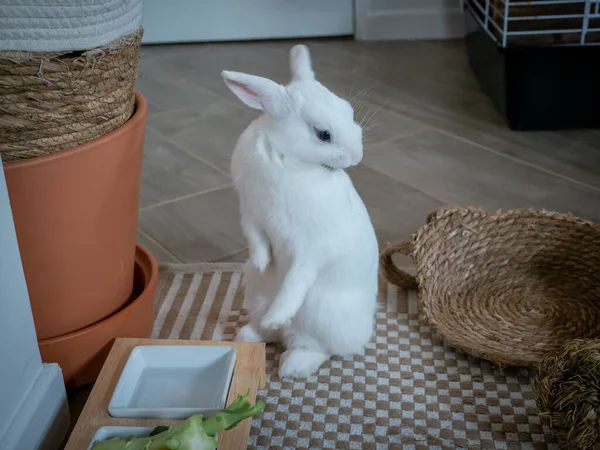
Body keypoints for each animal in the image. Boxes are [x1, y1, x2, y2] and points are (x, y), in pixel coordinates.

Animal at [223, 44, 378, 378]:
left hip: (318, 316)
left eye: (349, 112)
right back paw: (250, 333)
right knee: (274, 335)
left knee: (314, 347)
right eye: (323, 135)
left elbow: (296, 281)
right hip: (254, 294)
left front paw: (277, 314)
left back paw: (290, 363)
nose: (357, 157)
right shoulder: (249, 211)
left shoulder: (309, 249)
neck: (286, 157)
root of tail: (363, 333)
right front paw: (262, 262)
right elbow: (256, 239)